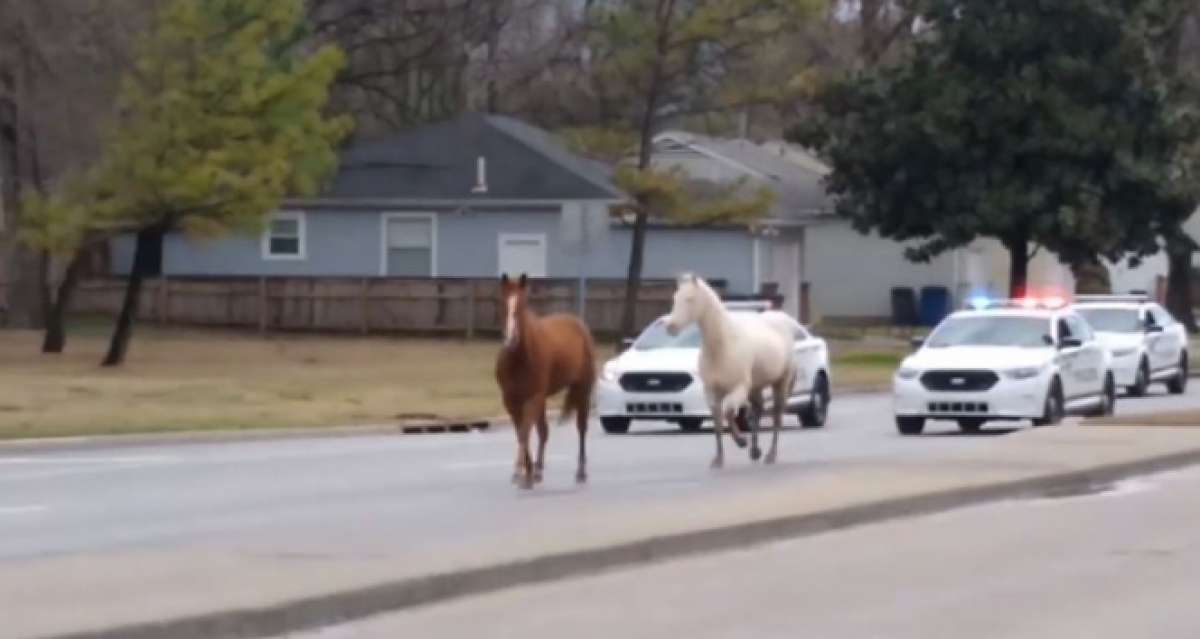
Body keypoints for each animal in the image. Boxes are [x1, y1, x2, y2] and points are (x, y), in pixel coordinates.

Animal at [492, 270, 595, 490]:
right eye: (503, 302)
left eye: (522, 304)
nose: (511, 339)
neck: (519, 357)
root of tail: (578, 324)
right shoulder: (511, 401)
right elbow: (521, 432)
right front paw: (528, 473)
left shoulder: (533, 397)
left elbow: (524, 432)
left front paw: (520, 472)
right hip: (543, 399)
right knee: (543, 431)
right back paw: (538, 470)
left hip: (582, 389)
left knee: (581, 428)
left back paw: (580, 473)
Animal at [667, 272, 796, 466]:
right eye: (675, 298)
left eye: (689, 299)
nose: (671, 327)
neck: (723, 345)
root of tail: (784, 320)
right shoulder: (711, 391)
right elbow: (717, 422)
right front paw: (718, 459)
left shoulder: (738, 388)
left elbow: (728, 412)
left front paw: (741, 441)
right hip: (756, 386)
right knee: (757, 411)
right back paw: (755, 451)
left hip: (780, 382)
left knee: (776, 416)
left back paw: (770, 455)